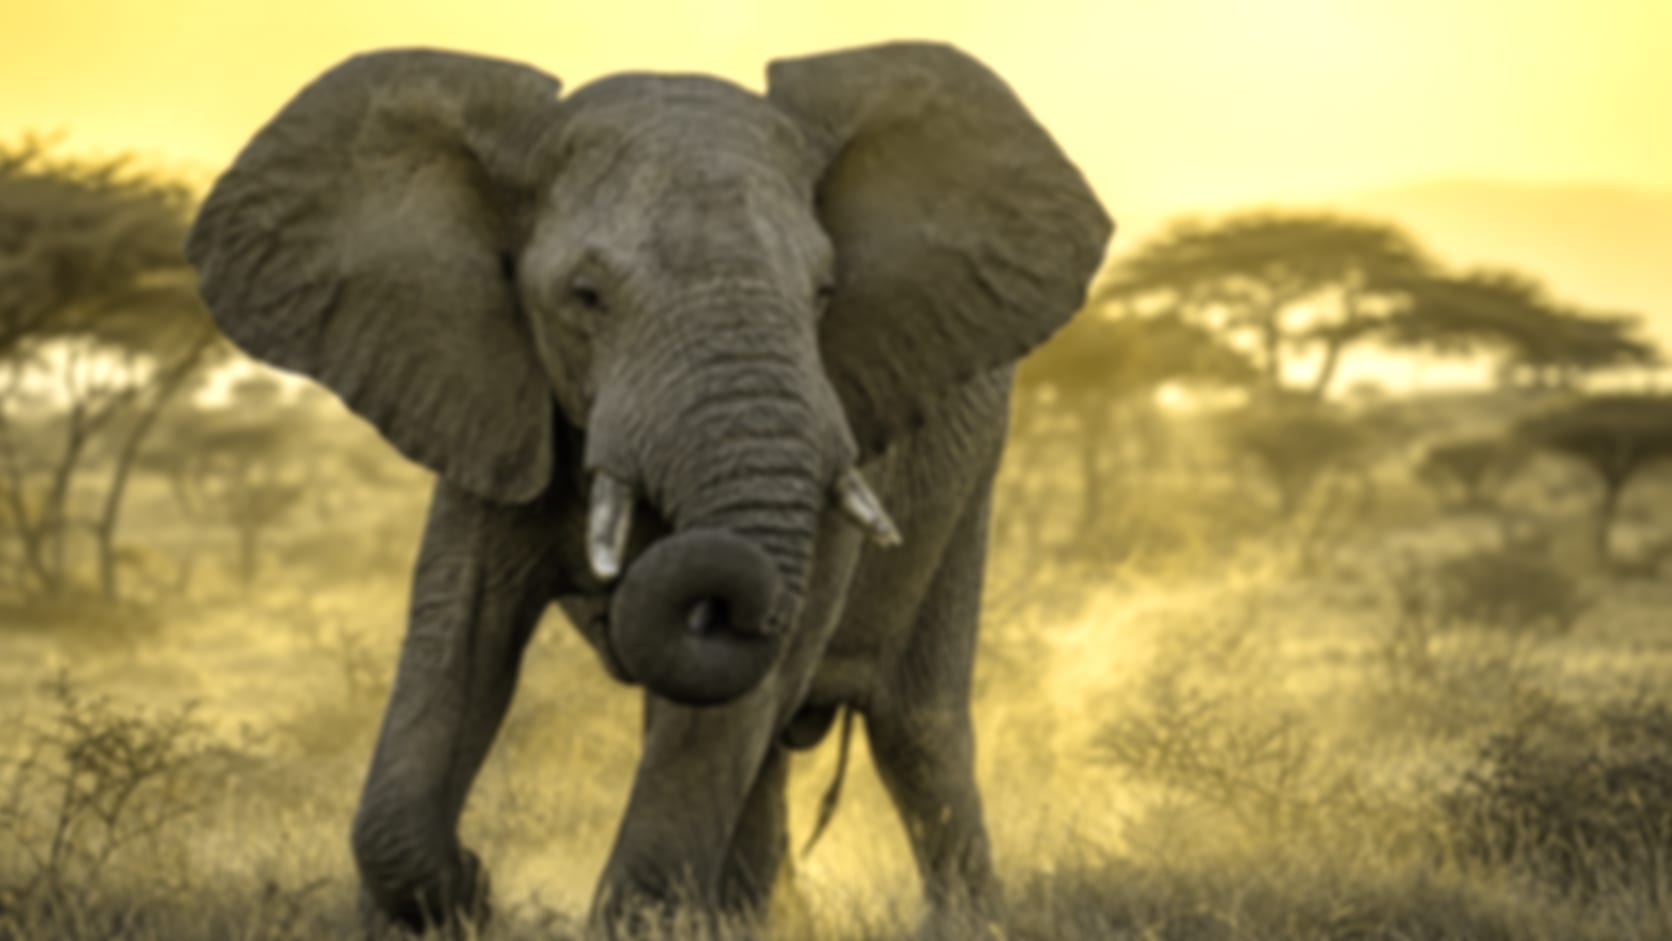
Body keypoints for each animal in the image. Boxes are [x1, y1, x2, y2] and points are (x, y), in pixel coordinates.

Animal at [185, 41, 1111, 938]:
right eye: (585, 297)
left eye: (824, 293)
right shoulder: (494, 393)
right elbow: (459, 630)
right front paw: (461, 896)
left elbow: (744, 678)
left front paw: (630, 920)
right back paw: (762, 916)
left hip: (971, 476)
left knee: (915, 727)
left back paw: (957, 919)